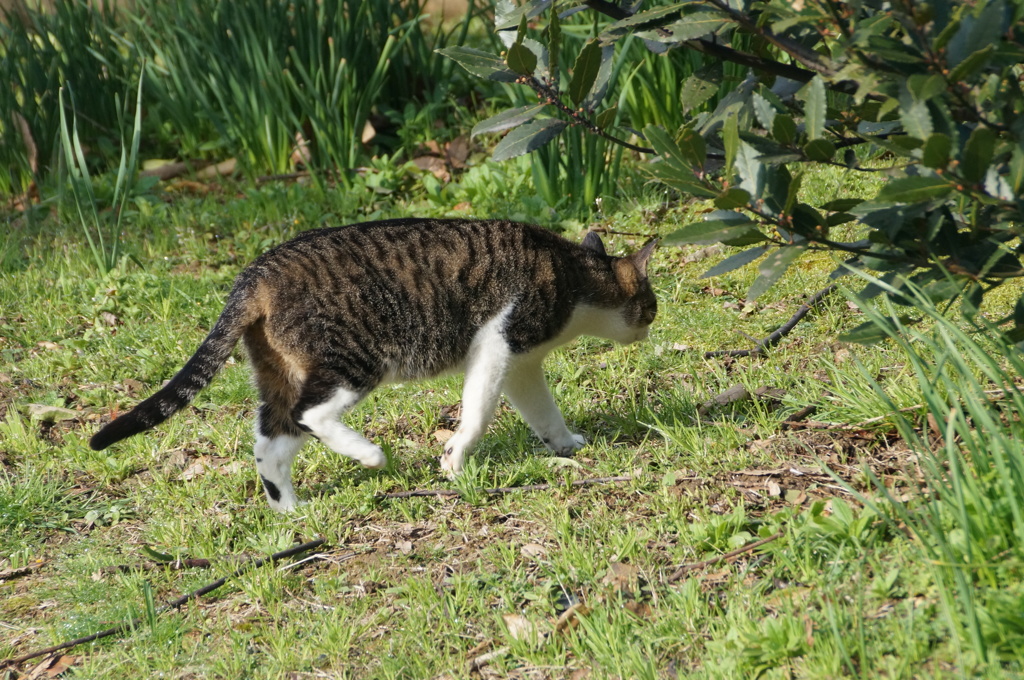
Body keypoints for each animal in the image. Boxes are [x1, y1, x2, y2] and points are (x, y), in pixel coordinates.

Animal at [88, 218, 655, 510]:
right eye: (651, 302)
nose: (653, 321)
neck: (574, 273)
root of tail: (257, 272)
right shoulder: (498, 345)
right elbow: (477, 413)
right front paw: (454, 460)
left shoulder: (521, 363)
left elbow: (543, 412)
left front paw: (566, 444)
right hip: (355, 359)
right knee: (310, 415)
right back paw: (370, 456)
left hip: (279, 373)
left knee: (270, 442)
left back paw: (291, 511)